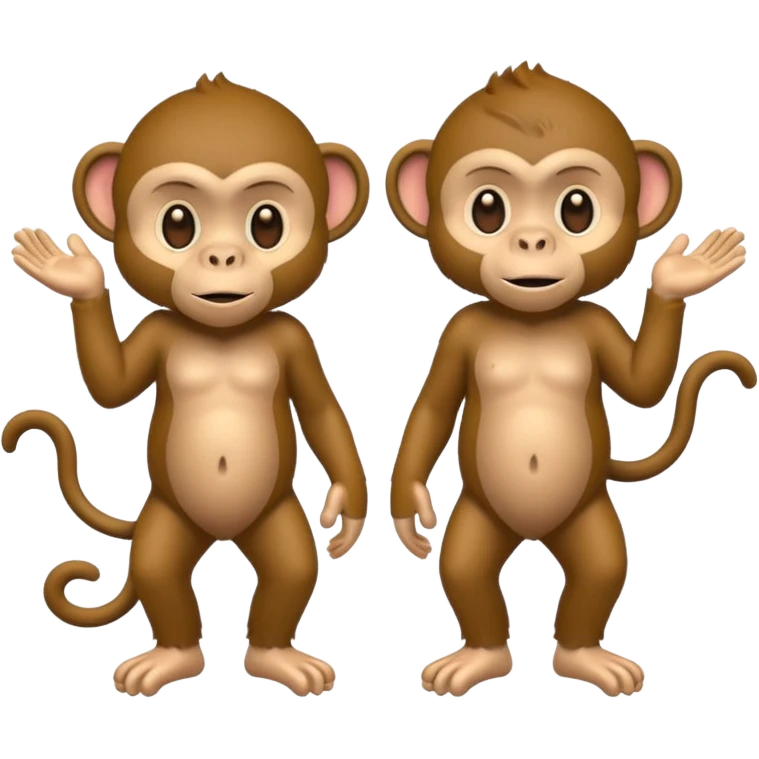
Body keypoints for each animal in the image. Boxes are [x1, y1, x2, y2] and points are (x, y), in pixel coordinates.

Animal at [4, 73, 370, 698]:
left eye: (267, 223)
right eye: (177, 224)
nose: (221, 257)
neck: (220, 330)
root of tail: (221, 534)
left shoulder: (295, 339)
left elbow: (322, 410)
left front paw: (346, 510)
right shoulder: (158, 331)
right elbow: (111, 388)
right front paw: (77, 276)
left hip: (274, 516)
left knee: (293, 568)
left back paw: (278, 658)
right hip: (167, 518)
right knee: (157, 570)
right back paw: (169, 659)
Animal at [384, 62, 755, 698]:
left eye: (576, 209)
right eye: (488, 209)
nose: (534, 241)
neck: (534, 318)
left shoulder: (595, 323)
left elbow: (641, 385)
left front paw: (678, 275)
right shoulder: (458, 333)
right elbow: (432, 406)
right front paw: (410, 510)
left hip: (588, 515)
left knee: (602, 568)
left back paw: (586, 659)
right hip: (479, 514)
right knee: (464, 568)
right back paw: (478, 658)